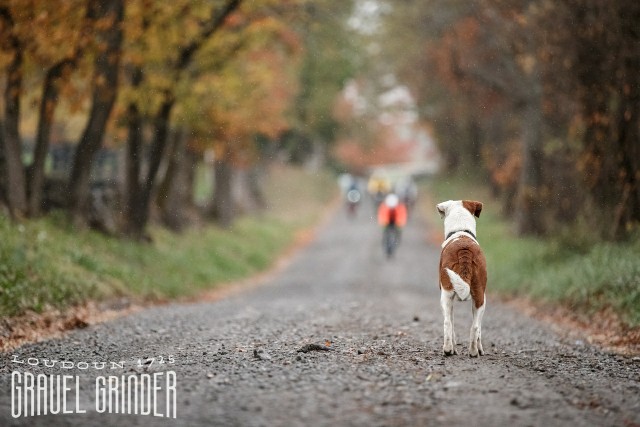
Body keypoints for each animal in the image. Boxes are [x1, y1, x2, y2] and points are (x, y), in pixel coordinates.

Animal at [438, 201, 488, 358]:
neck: (461, 230)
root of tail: (464, 249)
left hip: (447, 295)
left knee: (448, 323)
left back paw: (449, 349)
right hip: (480, 297)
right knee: (475, 327)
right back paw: (472, 351)